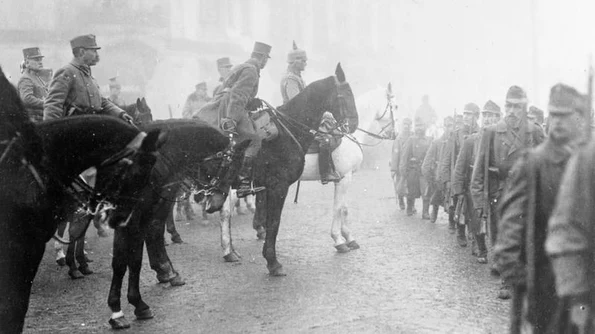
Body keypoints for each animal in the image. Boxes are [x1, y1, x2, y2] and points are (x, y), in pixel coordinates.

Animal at [105, 118, 249, 330]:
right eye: (228, 169)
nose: (215, 205)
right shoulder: (130, 222)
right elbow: (126, 262)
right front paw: (121, 309)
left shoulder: (141, 217)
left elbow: (132, 259)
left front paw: (132, 305)